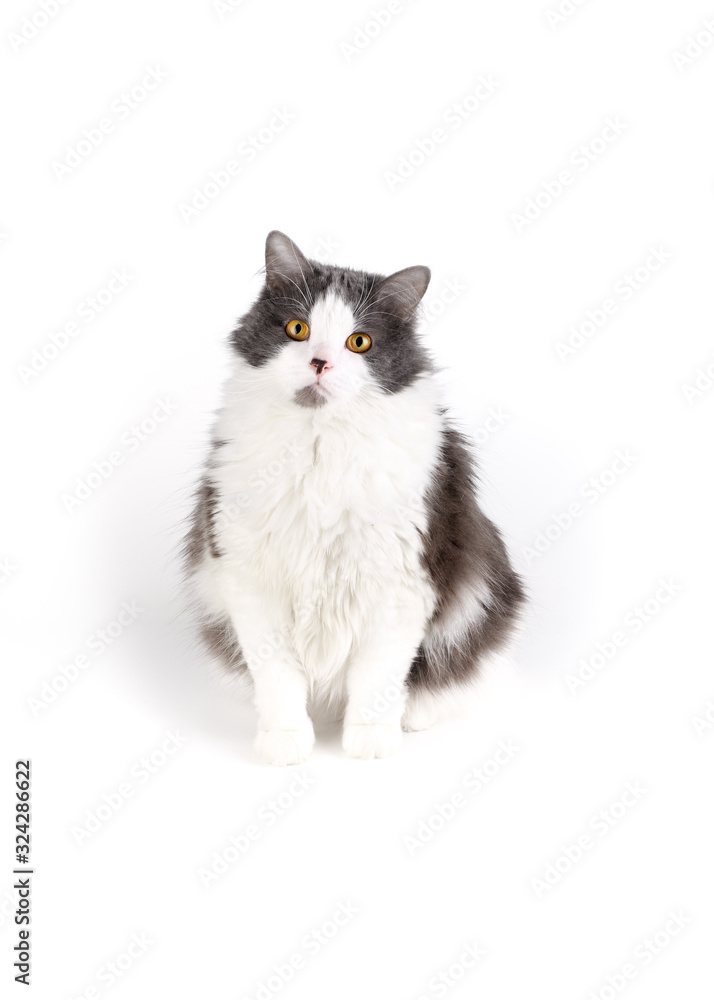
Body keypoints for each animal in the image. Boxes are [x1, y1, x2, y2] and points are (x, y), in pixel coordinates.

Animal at [185, 232, 524, 764]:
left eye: (359, 341)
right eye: (298, 329)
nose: (320, 362)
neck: (320, 444)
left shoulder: (399, 585)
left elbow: (377, 677)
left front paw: (370, 740)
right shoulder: (250, 580)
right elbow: (278, 678)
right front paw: (285, 741)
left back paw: (411, 716)